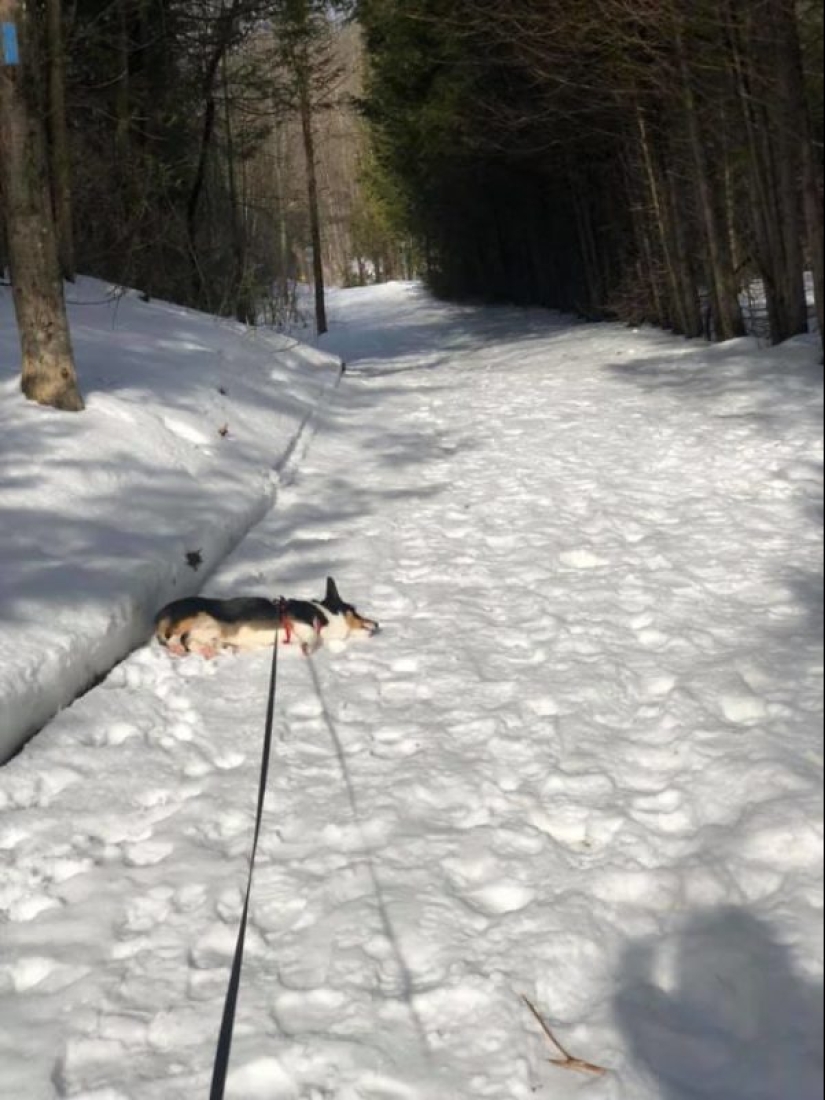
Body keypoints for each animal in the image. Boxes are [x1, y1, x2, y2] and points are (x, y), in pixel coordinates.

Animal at [154, 580, 380, 655]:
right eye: (355, 611)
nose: (378, 623)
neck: (324, 614)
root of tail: (160, 613)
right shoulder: (301, 623)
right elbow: (312, 636)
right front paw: (308, 648)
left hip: (208, 631)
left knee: (189, 641)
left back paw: (209, 650)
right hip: (196, 616)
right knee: (173, 637)